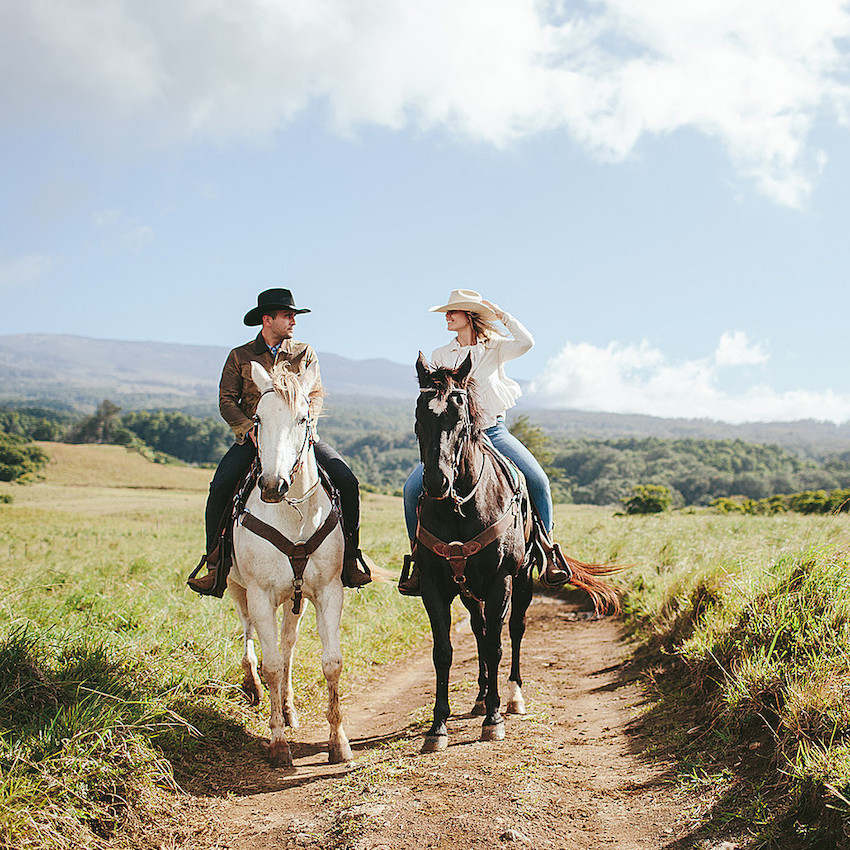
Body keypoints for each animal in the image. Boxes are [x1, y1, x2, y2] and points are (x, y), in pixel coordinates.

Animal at [225, 354, 352, 764]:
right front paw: (278, 742)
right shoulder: (260, 595)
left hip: (296, 599)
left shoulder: (328, 593)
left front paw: (338, 742)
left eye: (302, 418)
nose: (272, 486)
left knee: (288, 644)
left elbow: (330, 663)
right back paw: (254, 686)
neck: (292, 513)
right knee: (250, 635)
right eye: (258, 419)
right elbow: (272, 666)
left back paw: (288, 706)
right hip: (236, 587)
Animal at [412, 352, 620, 748]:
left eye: (460, 416)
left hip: (522, 581)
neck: (460, 507)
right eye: (419, 415)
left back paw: (511, 697)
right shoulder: (433, 586)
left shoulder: (501, 581)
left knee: (515, 629)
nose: (435, 482)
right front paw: (438, 725)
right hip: (469, 590)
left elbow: (497, 644)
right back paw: (480, 697)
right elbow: (443, 651)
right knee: (478, 630)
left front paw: (494, 719)